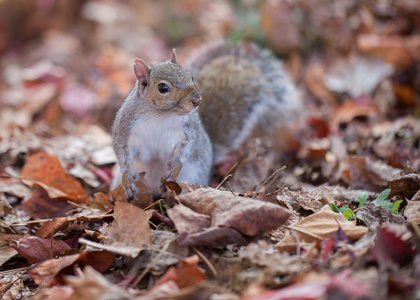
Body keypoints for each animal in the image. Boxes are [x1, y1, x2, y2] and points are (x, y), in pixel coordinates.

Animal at [111, 39, 298, 199]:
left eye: (190, 76)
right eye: (163, 88)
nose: (197, 100)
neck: (160, 116)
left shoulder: (188, 131)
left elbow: (186, 150)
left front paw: (175, 169)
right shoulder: (125, 129)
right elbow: (122, 155)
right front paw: (127, 181)